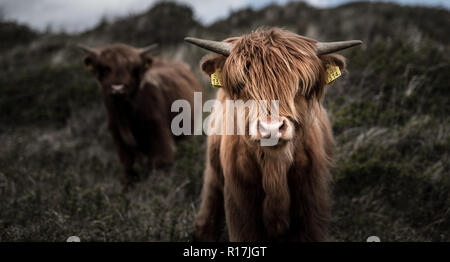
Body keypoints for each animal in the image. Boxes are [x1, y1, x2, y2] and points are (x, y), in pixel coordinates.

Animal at [79, 43, 202, 190]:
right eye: (105, 67)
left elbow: (161, 164)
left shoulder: (160, 136)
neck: (125, 115)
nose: (117, 89)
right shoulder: (118, 138)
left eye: (132, 68)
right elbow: (128, 167)